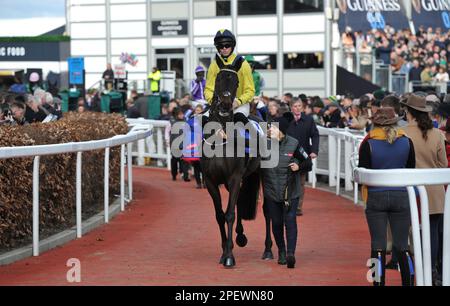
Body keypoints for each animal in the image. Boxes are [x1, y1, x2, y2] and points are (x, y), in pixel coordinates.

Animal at [202, 66, 262, 268]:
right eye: (218, 79)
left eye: (236, 81)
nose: (226, 104)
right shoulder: (211, 181)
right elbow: (220, 214)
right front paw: (224, 251)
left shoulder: (235, 178)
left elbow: (229, 214)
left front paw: (229, 255)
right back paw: (240, 236)